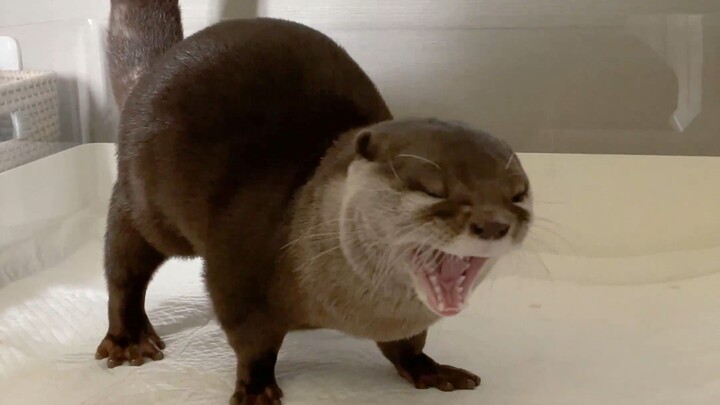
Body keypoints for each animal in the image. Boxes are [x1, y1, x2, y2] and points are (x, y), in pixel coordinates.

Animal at [95, 1, 534, 404]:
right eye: (432, 188)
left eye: (517, 194)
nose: (493, 223)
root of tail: (153, 68)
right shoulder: (237, 272)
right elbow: (252, 341)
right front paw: (256, 388)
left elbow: (408, 343)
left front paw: (429, 368)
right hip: (144, 203)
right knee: (123, 262)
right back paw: (129, 337)